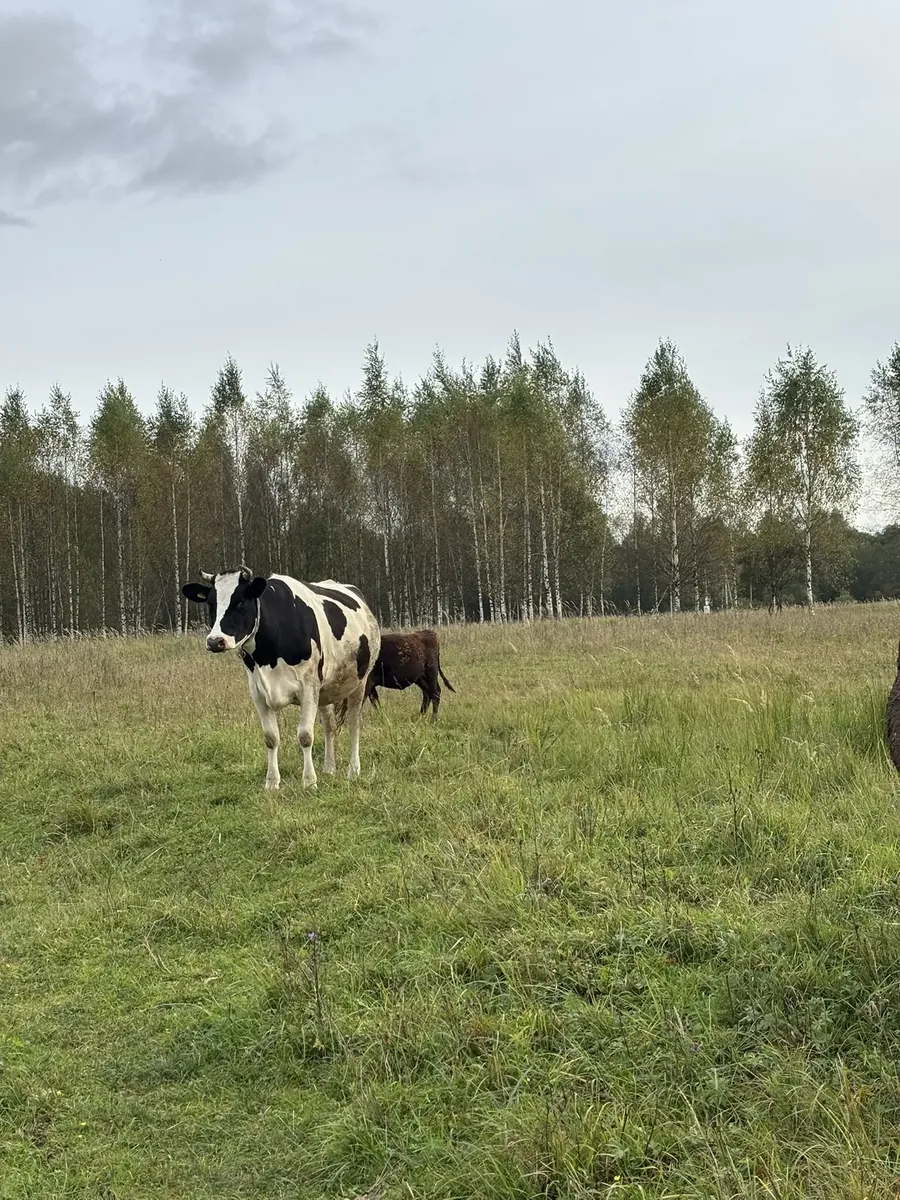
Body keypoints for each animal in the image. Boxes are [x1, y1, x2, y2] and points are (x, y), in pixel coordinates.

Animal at [181, 565, 380, 791]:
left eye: (240, 601)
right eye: (211, 604)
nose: (215, 641)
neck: (268, 654)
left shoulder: (308, 688)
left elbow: (305, 736)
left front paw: (309, 782)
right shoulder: (258, 693)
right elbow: (270, 737)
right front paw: (272, 782)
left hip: (359, 682)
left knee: (354, 723)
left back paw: (353, 771)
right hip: (326, 691)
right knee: (329, 724)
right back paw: (329, 768)